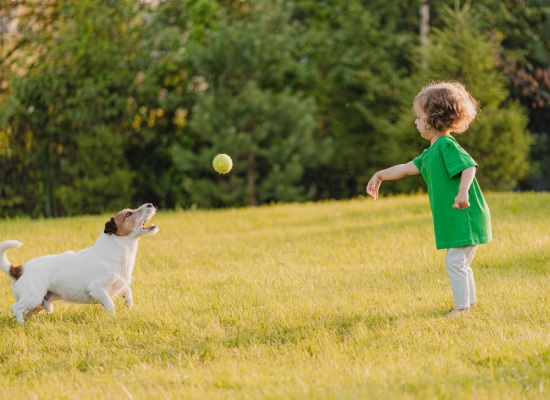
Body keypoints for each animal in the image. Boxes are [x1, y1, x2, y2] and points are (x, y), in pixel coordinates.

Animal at [0, 203, 160, 324]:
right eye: (128, 214)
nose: (150, 204)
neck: (115, 250)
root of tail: (19, 269)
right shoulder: (97, 289)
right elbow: (110, 303)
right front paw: (113, 318)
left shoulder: (118, 284)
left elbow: (127, 290)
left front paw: (128, 304)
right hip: (32, 297)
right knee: (15, 308)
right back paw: (21, 324)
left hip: (37, 304)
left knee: (25, 312)